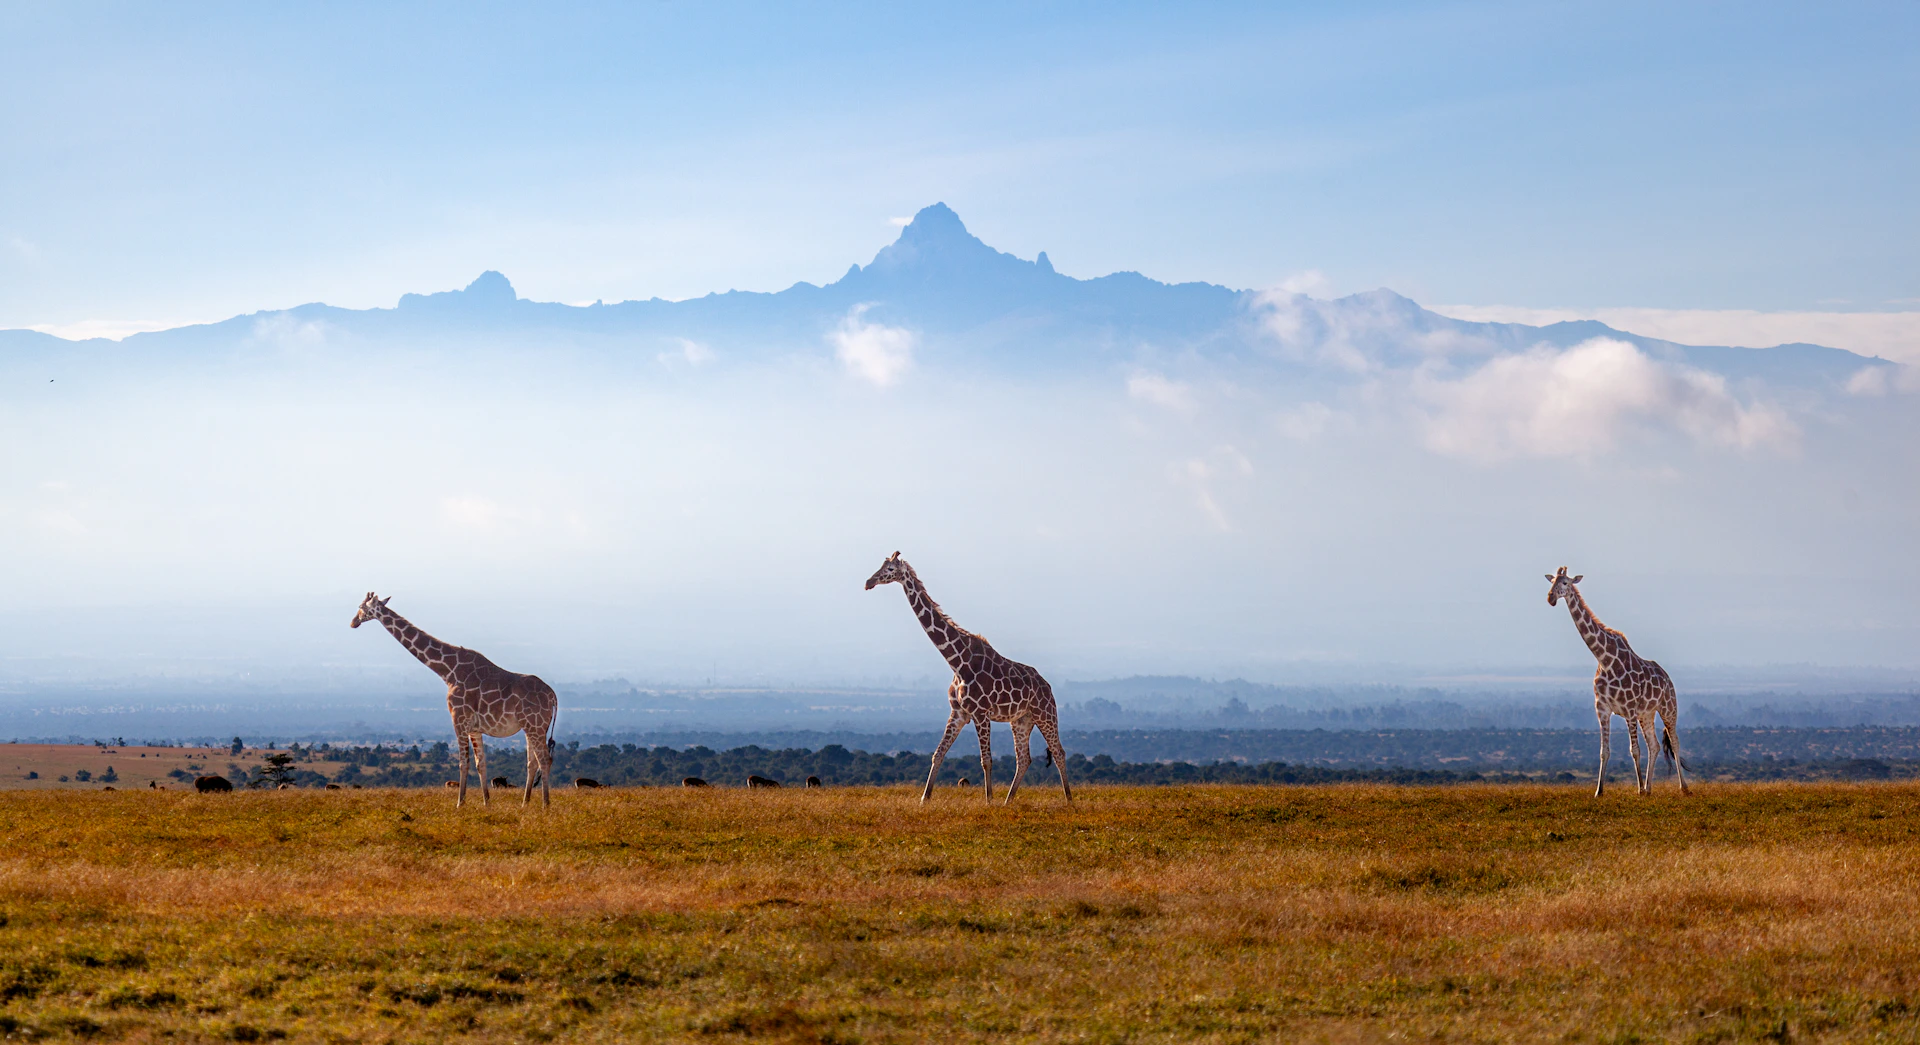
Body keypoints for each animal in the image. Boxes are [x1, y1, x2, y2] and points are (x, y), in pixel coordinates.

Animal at [350, 593, 558, 807]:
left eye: (361, 607)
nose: (353, 622)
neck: (449, 671)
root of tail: (552, 696)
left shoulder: (458, 719)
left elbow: (462, 762)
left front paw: (460, 803)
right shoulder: (475, 727)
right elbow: (480, 763)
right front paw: (487, 803)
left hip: (535, 725)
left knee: (544, 760)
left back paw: (545, 805)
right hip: (530, 727)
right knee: (532, 762)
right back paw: (525, 804)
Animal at [864, 552, 1072, 805]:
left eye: (890, 569)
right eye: (881, 565)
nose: (869, 582)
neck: (957, 661)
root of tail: (1047, 685)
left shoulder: (980, 713)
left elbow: (986, 760)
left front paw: (988, 801)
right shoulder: (958, 713)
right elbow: (938, 753)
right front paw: (924, 799)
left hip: (1045, 714)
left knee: (1059, 752)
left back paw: (1069, 800)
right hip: (1021, 720)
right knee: (1024, 759)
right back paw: (1008, 802)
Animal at [1546, 568, 1689, 797]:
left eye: (1565, 582)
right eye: (1551, 582)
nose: (1550, 598)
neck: (1604, 659)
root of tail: (1667, 677)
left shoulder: (1629, 709)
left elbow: (1634, 750)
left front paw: (1638, 790)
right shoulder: (1602, 708)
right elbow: (1604, 751)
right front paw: (1599, 791)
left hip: (1668, 707)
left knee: (1674, 742)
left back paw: (1683, 787)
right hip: (1646, 714)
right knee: (1655, 745)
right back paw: (1649, 788)